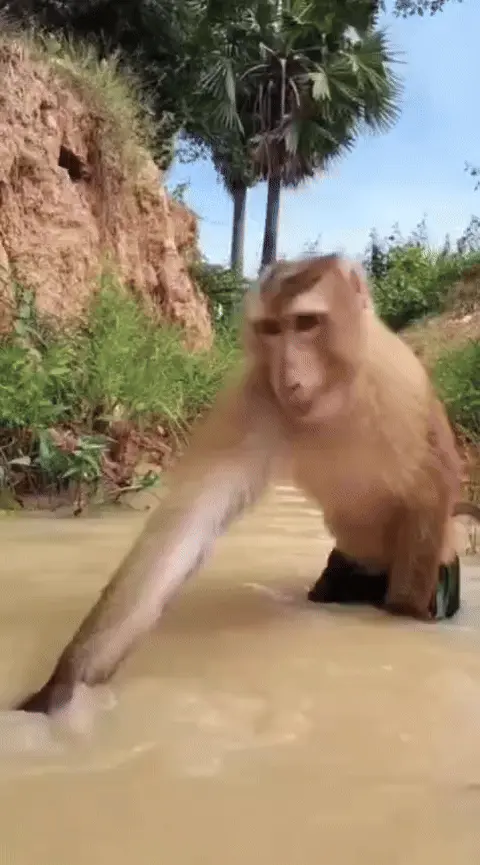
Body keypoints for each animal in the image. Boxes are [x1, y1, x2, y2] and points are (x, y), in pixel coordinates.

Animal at [14, 253, 480, 715]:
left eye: (306, 322)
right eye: (271, 329)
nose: (288, 375)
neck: (337, 398)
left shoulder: (403, 388)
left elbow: (429, 494)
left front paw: (403, 618)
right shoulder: (256, 397)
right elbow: (186, 528)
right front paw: (61, 687)